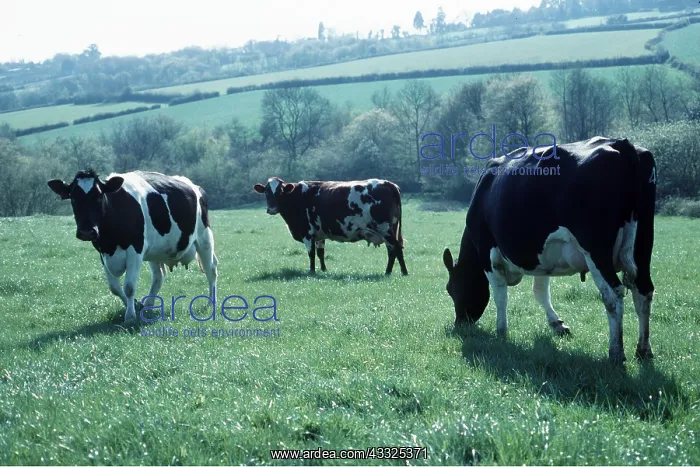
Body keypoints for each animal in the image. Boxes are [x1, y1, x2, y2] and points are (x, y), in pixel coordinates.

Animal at [48, 169, 218, 323]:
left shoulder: (135, 250)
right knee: (158, 276)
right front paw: (135, 306)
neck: (110, 241)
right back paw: (149, 304)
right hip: (156, 250)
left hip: (204, 238)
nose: (86, 232)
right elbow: (115, 288)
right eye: (73, 198)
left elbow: (129, 287)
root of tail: (195, 186)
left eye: (99, 196)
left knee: (211, 270)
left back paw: (211, 303)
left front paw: (130, 316)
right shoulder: (102, 253)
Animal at [253, 177, 408, 275]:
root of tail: (390, 184)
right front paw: (323, 270)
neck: (297, 197)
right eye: (266, 192)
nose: (272, 209)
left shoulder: (308, 233)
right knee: (393, 250)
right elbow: (320, 253)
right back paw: (389, 272)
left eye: (280, 191)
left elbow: (311, 254)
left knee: (395, 248)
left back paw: (401, 272)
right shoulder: (319, 234)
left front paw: (312, 271)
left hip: (385, 229)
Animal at [442, 136, 656, 364]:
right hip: (643, 244)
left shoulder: (487, 252)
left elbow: (500, 295)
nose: (460, 323)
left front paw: (501, 331)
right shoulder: (541, 257)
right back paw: (643, 350)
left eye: (450, 288)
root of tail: (621, 144)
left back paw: (616, 352)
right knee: (643, 291)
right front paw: (557, 325)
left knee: (613, 295)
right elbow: (540, 291)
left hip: (596, 250)